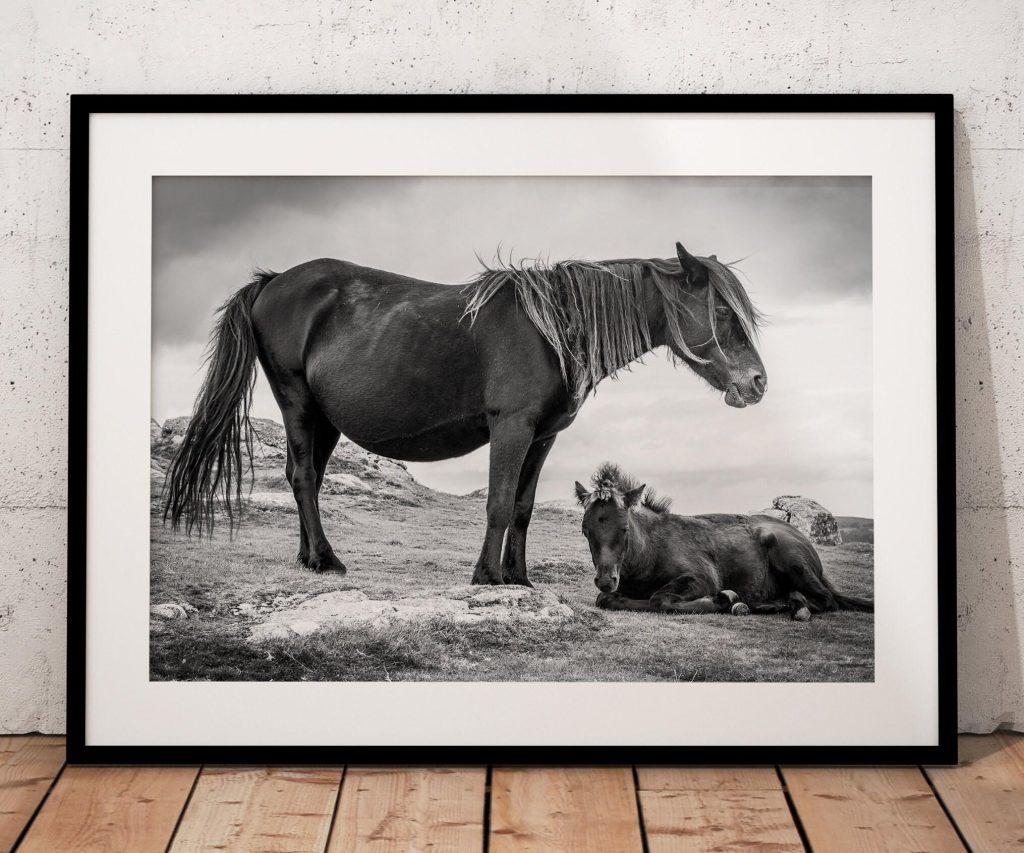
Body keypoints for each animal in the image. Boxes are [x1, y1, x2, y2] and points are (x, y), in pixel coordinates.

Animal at [163, 242, 767, 586]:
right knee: (307, 476)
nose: (757, 383)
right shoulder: (511, 427)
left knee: (297, 475)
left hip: (326, 419)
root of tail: (273, 281)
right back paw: (328, 560)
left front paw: (518, 579)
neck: (551, 328)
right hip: (298, 402)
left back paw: (309, 558)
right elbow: (497, 504)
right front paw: (487, 576)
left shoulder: (542, 437)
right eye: (720, 311)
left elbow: (521, 507)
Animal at [575, 463, 873, 619]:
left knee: (826, 600)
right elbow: (605, 599)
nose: (606, 579)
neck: (651, 552)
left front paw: (721, 600)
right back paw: (768, 604)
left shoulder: (701, 578)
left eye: (625, 529)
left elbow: (659, 599)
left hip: (789, 556)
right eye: (585, 530)